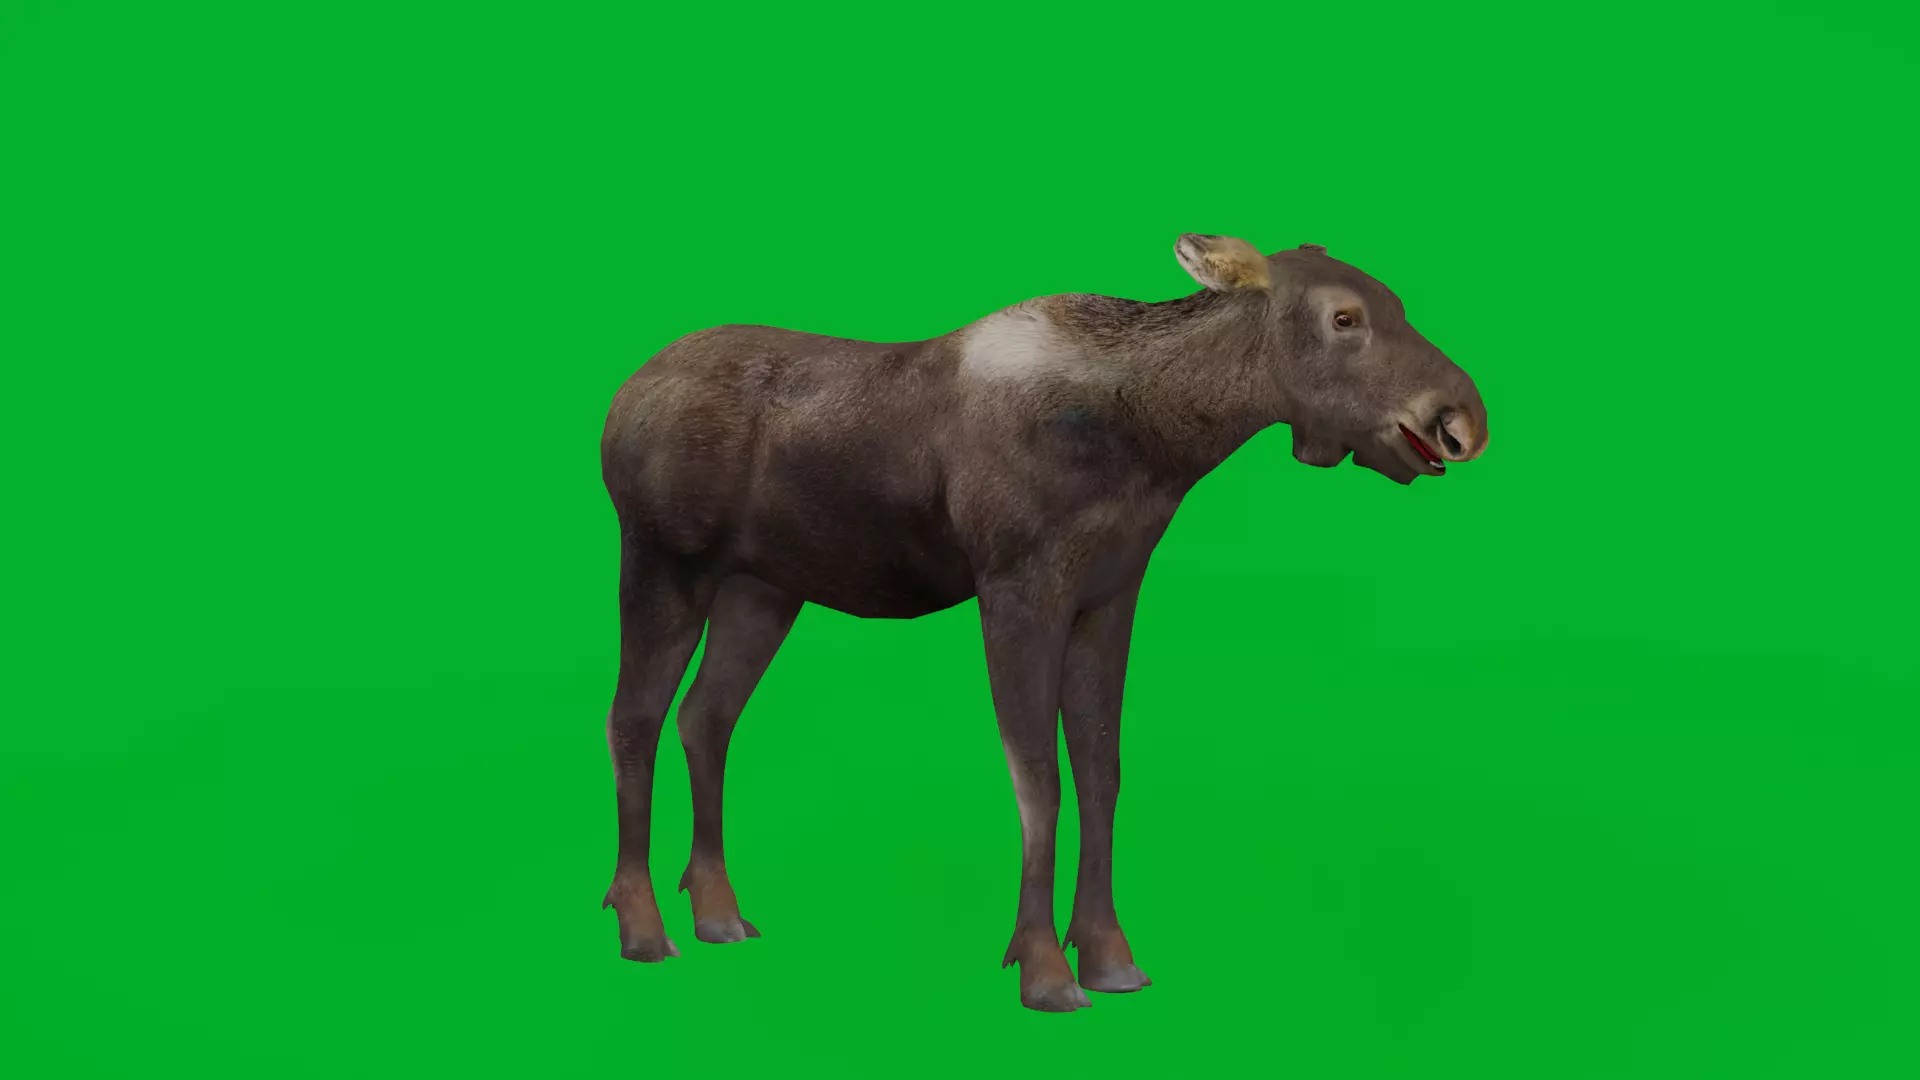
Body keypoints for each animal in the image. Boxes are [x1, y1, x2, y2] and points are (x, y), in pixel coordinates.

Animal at [598, 234, 1490, 1011]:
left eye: (1397, 302)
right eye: (1345, 317)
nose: (1461, 421)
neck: (1162, 441)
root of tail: (619, 401)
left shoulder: (1109, 596)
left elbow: (1102, 774)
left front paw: (1111, 958)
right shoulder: (1019, 590)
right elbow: (1039, 782)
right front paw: (1044, 969)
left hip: (764, 590)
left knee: (705, 716)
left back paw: (717, 911)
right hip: (663, 561)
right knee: (633, 719)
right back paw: (643, 926)